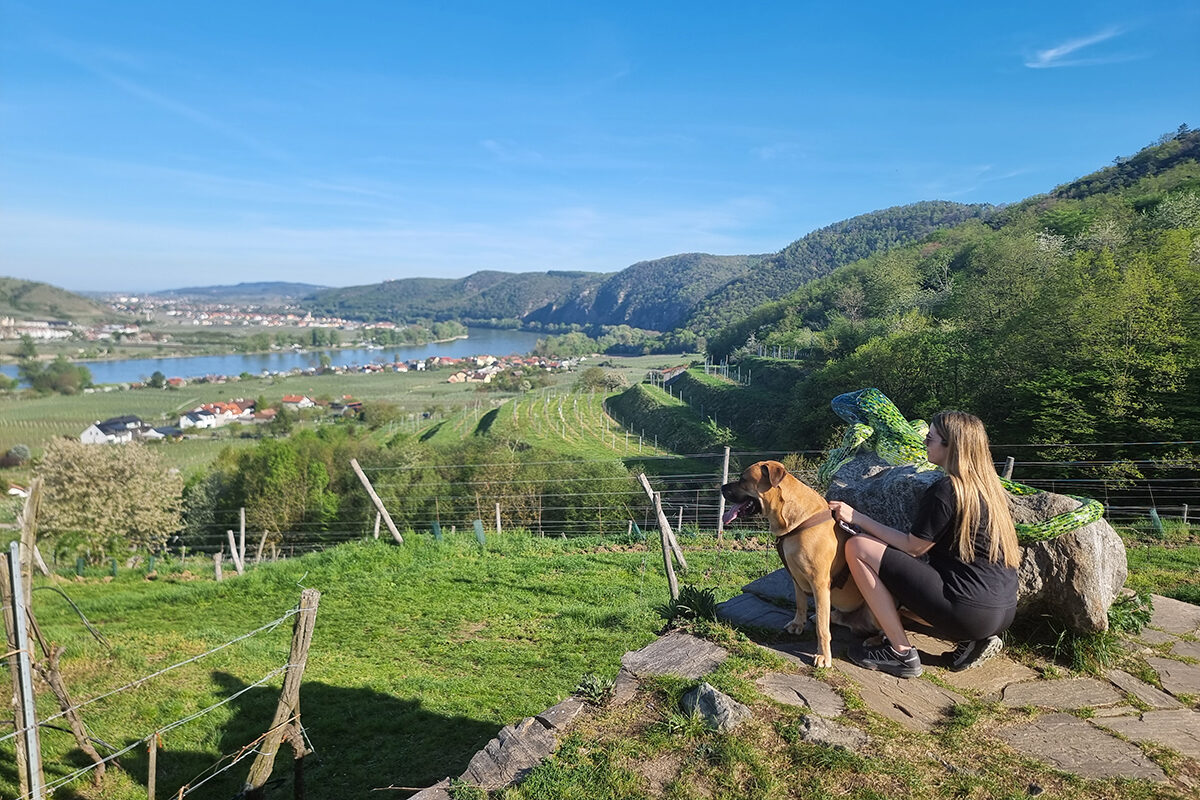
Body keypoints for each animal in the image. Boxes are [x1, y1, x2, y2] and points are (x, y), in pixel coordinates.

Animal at [715, 460, 878, 666]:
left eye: (743, 479)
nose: (722, 487)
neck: (792, 521)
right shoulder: (795, 575)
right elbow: (800, 603)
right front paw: (798, 624)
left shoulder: (819, 583)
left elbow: (822, 628)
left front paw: (823, 656)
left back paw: (873, 640)